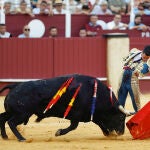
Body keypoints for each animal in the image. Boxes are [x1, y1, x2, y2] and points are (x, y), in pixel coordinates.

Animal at [0, 74, 129, 141]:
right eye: (121, 118)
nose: (121, 133)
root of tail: (14, 86)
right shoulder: (77, 115)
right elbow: (73, 126)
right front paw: (59, 132)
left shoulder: (92, 115)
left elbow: (101, 124)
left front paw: (108, 134)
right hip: (22, 114)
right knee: (11, 122)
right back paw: (21, 138)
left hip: (14, 112)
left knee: (3, 118)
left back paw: (5, 137)